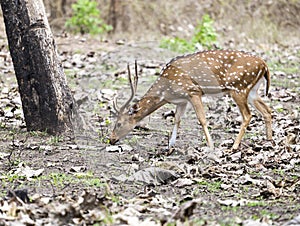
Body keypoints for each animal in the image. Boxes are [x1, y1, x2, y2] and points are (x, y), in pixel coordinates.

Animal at [109, 51, 272, 150]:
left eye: (119, 123)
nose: (111, 139)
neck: (166, 91)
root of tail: (264, 65)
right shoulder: (182, 100)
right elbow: (177, 119)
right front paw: (170, 145)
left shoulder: (193, 91)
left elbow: (202, 119)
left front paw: (210, 146)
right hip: (252, 90)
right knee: (267, 110)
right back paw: (269, 140)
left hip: (238, 88)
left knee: (247, 115)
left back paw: (234, 145)